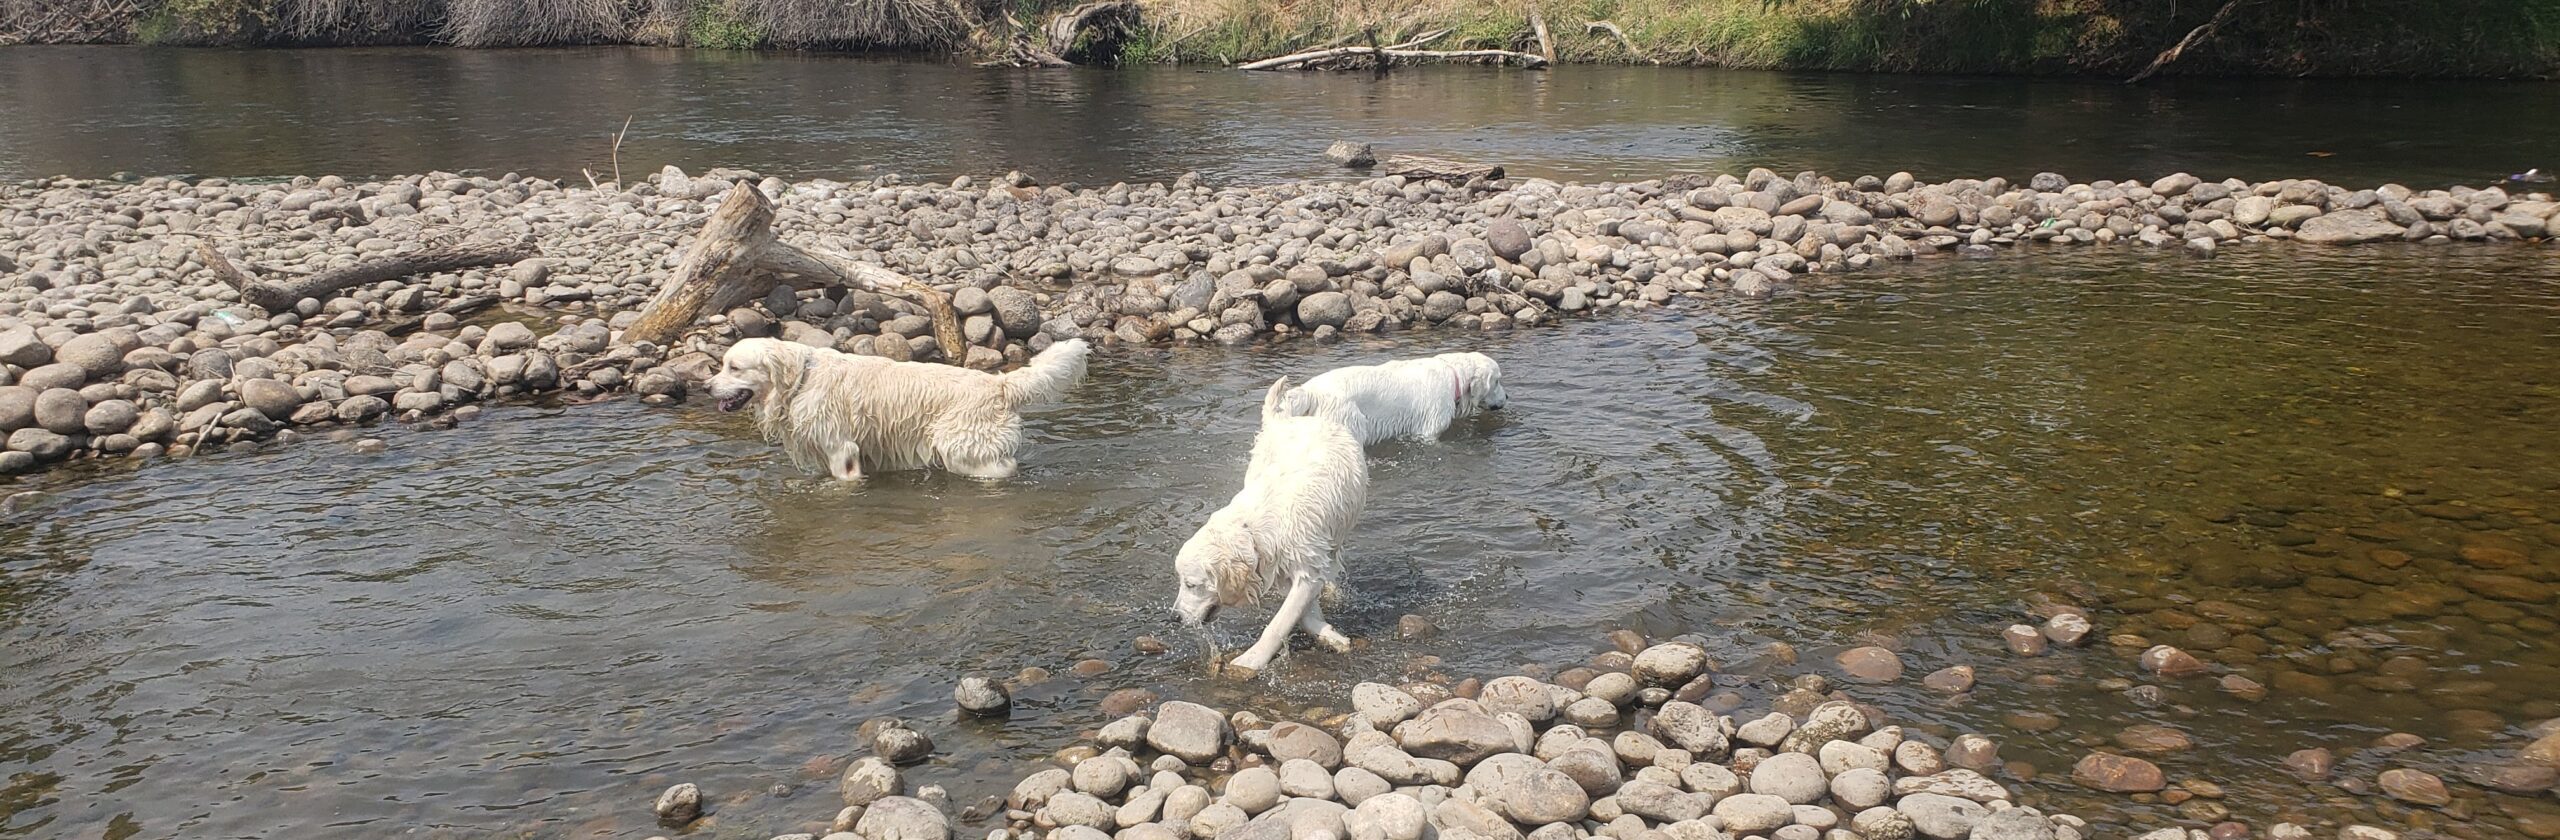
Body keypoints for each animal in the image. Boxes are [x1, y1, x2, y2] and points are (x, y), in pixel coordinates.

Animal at [706, 335, 1095, 478]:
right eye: (722, 364)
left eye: (734, 367)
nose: (706, 386)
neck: (800, 380)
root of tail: (1000, 384)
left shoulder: (840, 448)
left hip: (962, 448)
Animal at [1177, 376, 1372, 681]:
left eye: (1191, 584)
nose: (1174, 617)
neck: (1252, 531)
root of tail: (1286, 420)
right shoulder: (1285, 569)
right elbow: (1304, 613)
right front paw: (1327, 633)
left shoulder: (1306, 566)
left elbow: (1281, 620)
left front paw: (1251, 660)